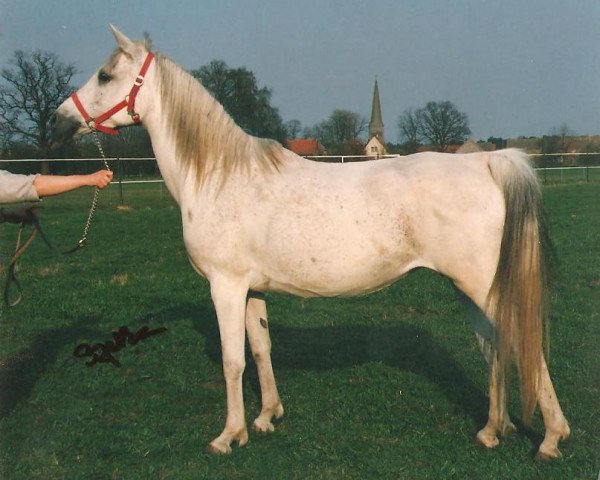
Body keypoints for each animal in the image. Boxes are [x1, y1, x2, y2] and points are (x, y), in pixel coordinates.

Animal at [54, 25, 568, 458]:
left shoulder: (225, 286)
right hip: (469, 288)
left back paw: (550, 439)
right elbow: (260, 349)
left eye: (105, 75)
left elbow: (232, 361)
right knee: (496, 347)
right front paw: (265, 418)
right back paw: (492, 430)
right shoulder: (251, 289)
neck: (219, 176)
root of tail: (488, 162)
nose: (59, 122)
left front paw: (227, 436)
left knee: (527, 348)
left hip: (480, 285)